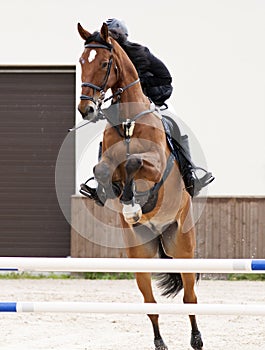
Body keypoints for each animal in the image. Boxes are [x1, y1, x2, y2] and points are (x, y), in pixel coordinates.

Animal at [77, 22, 203, 350]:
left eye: (104, 63)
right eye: (81, 62)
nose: (86, 109)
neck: (128, 121)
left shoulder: (156, 165)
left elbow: (135, 162)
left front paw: (133, 205)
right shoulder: (108, 165)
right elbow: (103, 169)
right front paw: (123, 201)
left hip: (182, 247)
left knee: (190, 298)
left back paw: (197, 339)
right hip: (140, 256)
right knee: (150, 304)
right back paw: (159, 343)